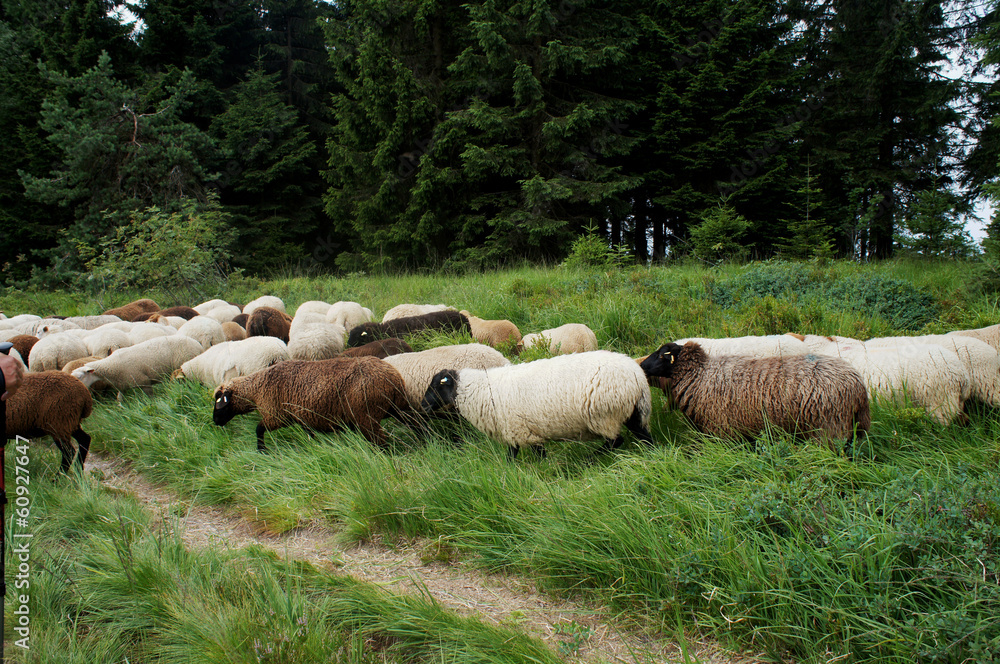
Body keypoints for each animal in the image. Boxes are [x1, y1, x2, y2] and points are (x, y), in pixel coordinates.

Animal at [72, 335, 205, 391]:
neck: (110, 365)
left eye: (80, 377)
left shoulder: (143, 381)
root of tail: (198, 345)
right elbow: (119, 400)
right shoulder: (123, 385)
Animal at [212, 356, 408, 451]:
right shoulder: (304, 418)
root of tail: (392, 377)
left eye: (219, 403)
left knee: (380, 442)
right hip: (400, 407)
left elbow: (258, 429)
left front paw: (262, 450)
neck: (257, 387)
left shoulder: (276, 416)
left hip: (367, 416)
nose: (215, 421)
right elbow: (310, 435)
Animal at [421, 350, 653, 459]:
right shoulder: (519, 431)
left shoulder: (520, 430)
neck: (481, 390)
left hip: (604, 415)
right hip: (632, 412)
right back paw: (651, 456)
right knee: (644, 436)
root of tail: (637, 376)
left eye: (436, 385)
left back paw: (589, 459)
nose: (422, 406)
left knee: (616, 441)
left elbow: (530, 456)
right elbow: (513, 456)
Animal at [640, 342, 870, 449]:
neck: (700, 374)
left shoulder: (722, 429)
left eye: (661, 354)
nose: (641, 366)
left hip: (829, 429)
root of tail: (858, 386)